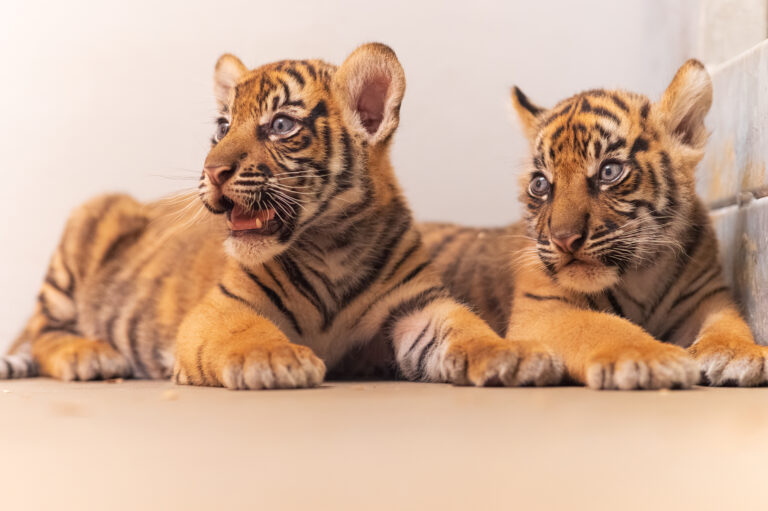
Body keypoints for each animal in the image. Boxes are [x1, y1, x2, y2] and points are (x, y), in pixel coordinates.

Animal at [1, 43, 564, 389]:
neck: (334, 244)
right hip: (91, 219)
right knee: (39, 330)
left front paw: (516, 355)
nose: (212, 171)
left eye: (280, 126)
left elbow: (469, 331)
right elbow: (246, 333)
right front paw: (277, 359)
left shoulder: (417, 307)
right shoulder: (220, 307)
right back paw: (90, 355)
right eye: (222, 127)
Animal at [420, 59, 767, 390]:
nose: (564, 239)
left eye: (609, 171)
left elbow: (729, 324)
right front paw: (651, 358)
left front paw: (742, 353)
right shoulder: (545, 309)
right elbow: (604, 326)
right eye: (540, 184)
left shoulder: (707, 297)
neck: (641, 274)